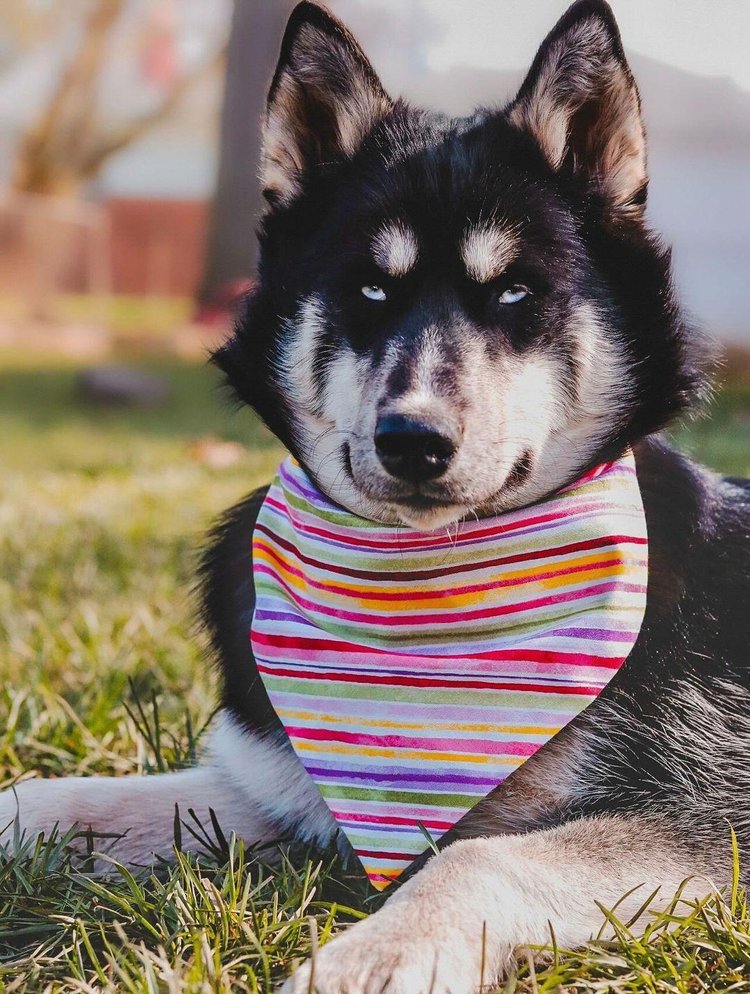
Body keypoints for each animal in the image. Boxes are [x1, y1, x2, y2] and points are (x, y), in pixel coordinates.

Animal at [2, 1, 748, 992]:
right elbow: (55, 798)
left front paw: (377, 955)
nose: (413, 440)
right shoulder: (273, 789)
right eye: (368, 287)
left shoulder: (715, 811)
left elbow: (482, 856)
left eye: (517, 291)